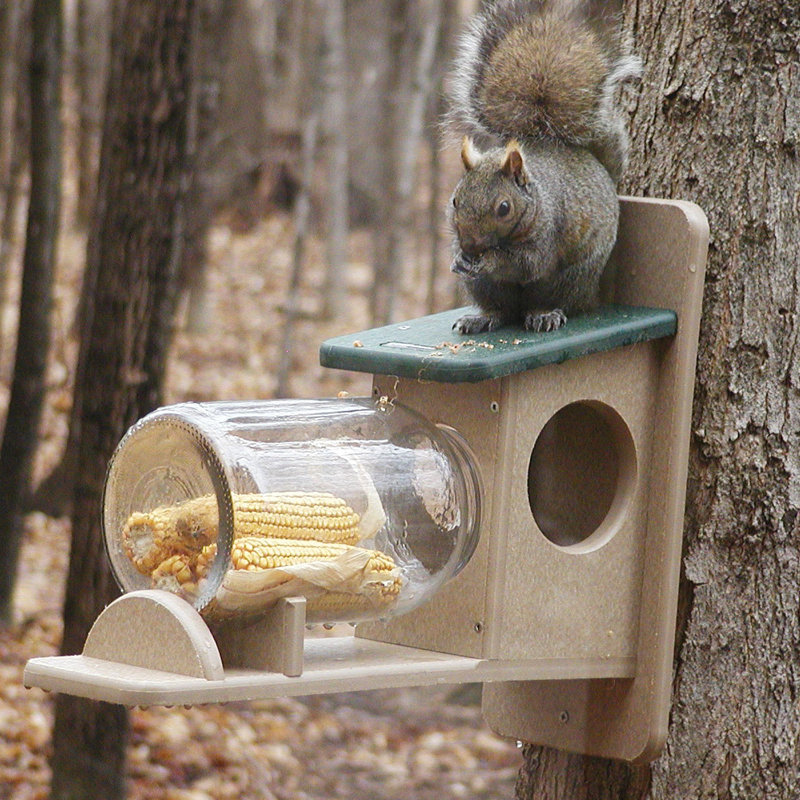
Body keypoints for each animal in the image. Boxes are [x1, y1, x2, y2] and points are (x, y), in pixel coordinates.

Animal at [445, 0, 641, 335]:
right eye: (455, 201)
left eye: (504, 208)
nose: (470, 248)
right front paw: (458, 258)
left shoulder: (547, 232)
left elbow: (525, 264)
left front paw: (490, 260)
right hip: (484, 287)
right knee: (501, 310)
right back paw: (482, 317)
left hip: (569, 278)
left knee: (552, 300)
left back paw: (544, 314)